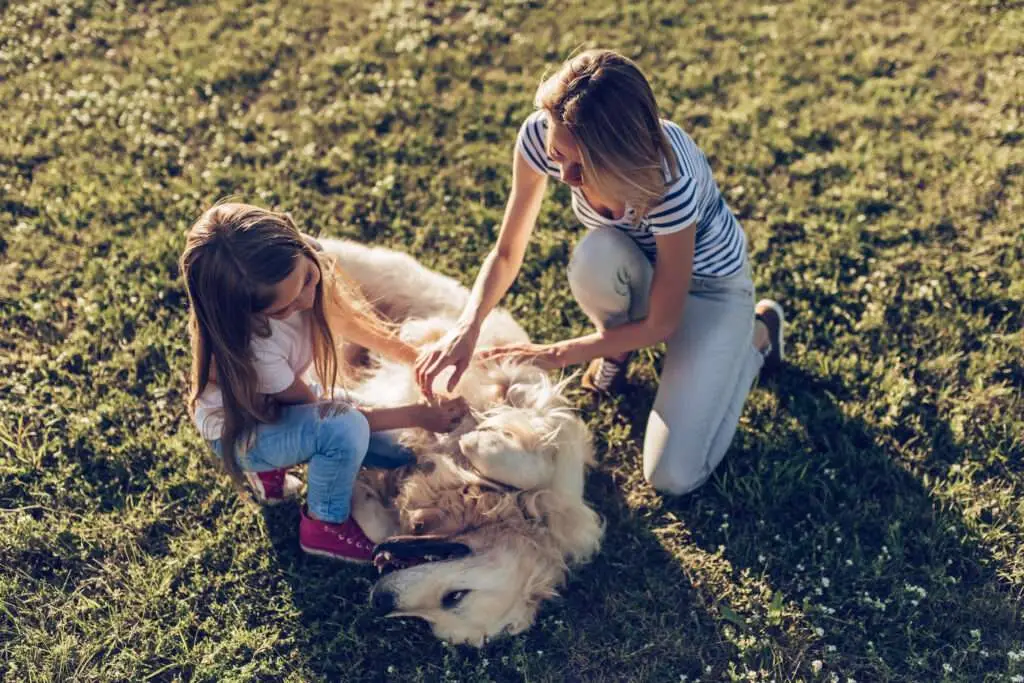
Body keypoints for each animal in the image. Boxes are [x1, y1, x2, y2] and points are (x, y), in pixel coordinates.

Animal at [319, 240, 602, 647]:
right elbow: (533, 467)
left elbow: (377, 525)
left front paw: (362, 495)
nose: (380, 601)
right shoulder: (535, 403)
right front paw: (479, 442)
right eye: (456, 596)